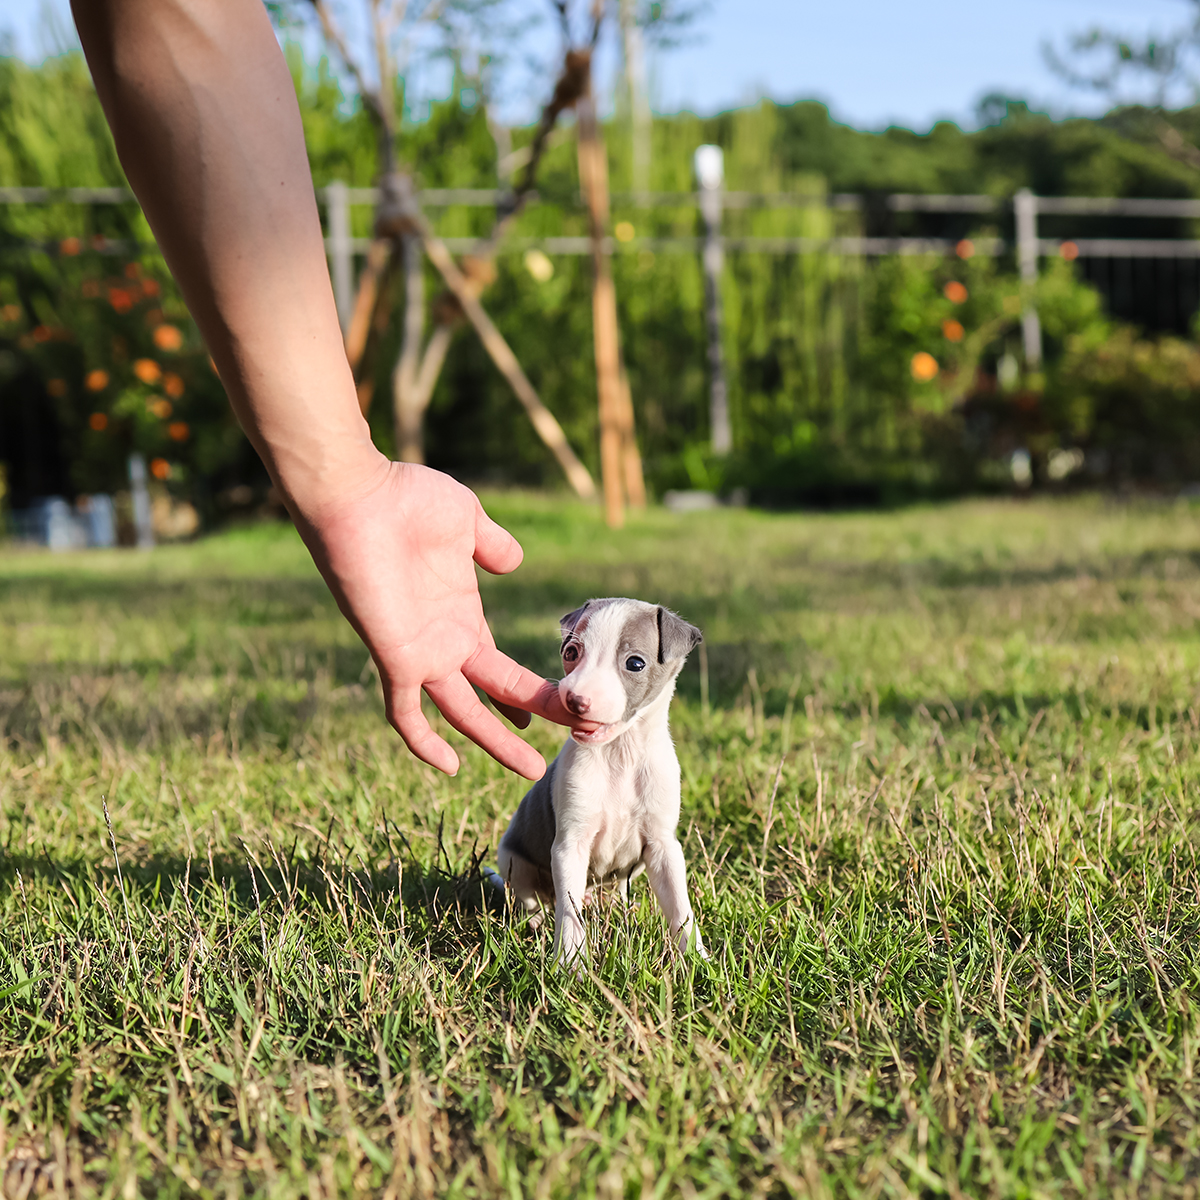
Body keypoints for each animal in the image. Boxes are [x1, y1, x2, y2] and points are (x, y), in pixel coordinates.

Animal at [489, 600, 710, 964]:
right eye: (571, 652)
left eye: (635, 663)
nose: (575, 700)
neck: (620, 754)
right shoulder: (570, 845)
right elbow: (569, 911)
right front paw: (569, 962)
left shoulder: (663, 846)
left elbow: (680, 907)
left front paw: (697, 959)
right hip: (511, 859)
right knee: (530, 897)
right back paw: (535, 919)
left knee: (615, 887)